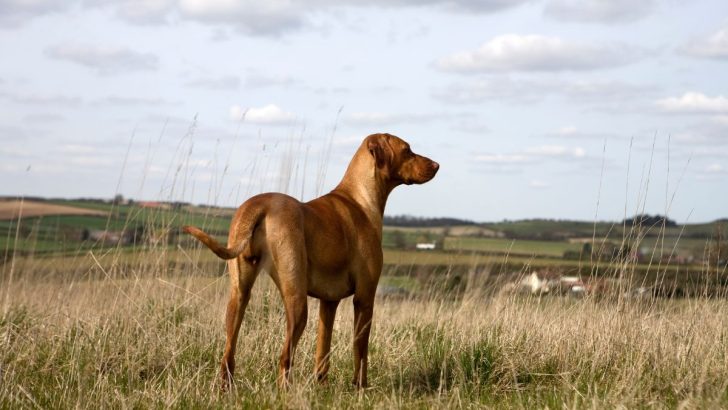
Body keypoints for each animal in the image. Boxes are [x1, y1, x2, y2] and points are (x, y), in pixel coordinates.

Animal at [185, 133, 440, 390]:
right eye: (407, 150)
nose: (437, 165)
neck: (360, 198)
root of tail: (261, 205)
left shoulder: (329, 302)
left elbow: (322, 350)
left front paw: (322, 386)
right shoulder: (365, 298)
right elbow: (361, 350)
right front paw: (360, 387)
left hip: (239, 295)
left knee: (228, 353)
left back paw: (226, 388)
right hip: (297, 302)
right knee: (284, 356)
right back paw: (285, 392)